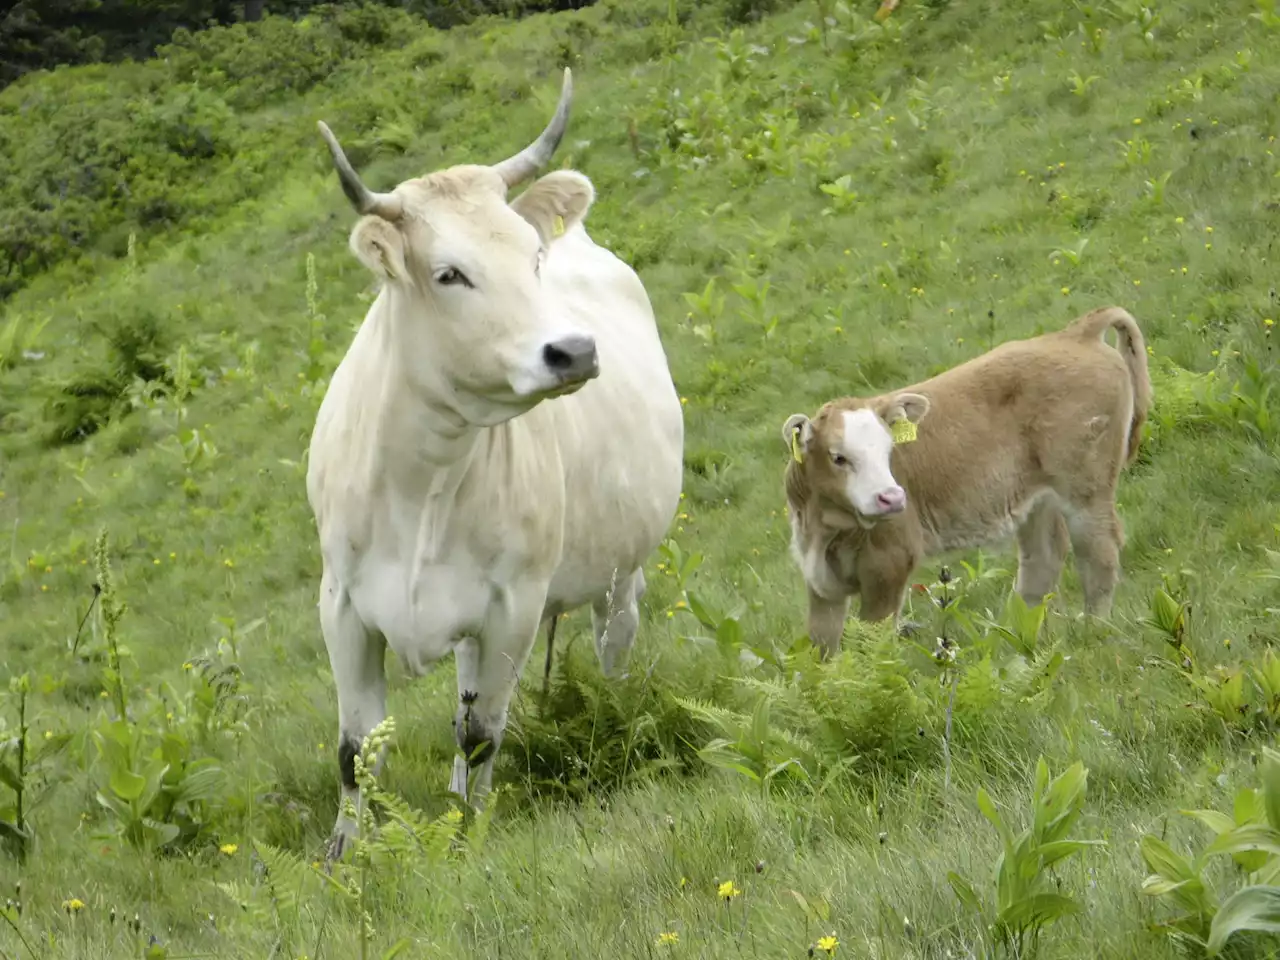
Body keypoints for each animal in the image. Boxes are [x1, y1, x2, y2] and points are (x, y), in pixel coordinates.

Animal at [307, 71, 691, 860]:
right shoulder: (343, 605)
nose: (574, 350)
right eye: (449, 273)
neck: (422, 481)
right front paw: (344, 855)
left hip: (619, 569)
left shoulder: (513, 605)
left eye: (530, 255)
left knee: (613, 637)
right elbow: (357, 749)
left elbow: (483, 734)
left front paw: (466, 835)